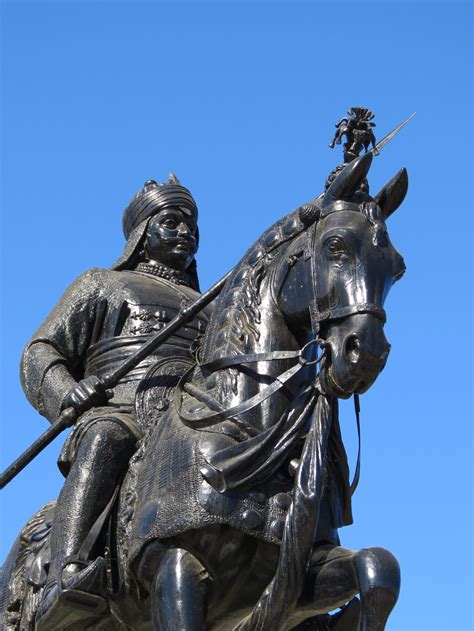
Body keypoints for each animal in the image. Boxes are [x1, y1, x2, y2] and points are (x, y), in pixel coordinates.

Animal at [0, 151, 408, 628]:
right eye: (336, 246)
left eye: (397, 267)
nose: (365, 353)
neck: (249, 437)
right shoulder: (174, 564)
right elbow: (43, 349)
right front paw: (80, 394)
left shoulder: (295, 580)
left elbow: (377, 566)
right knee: (102, 439)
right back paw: (64, 581)